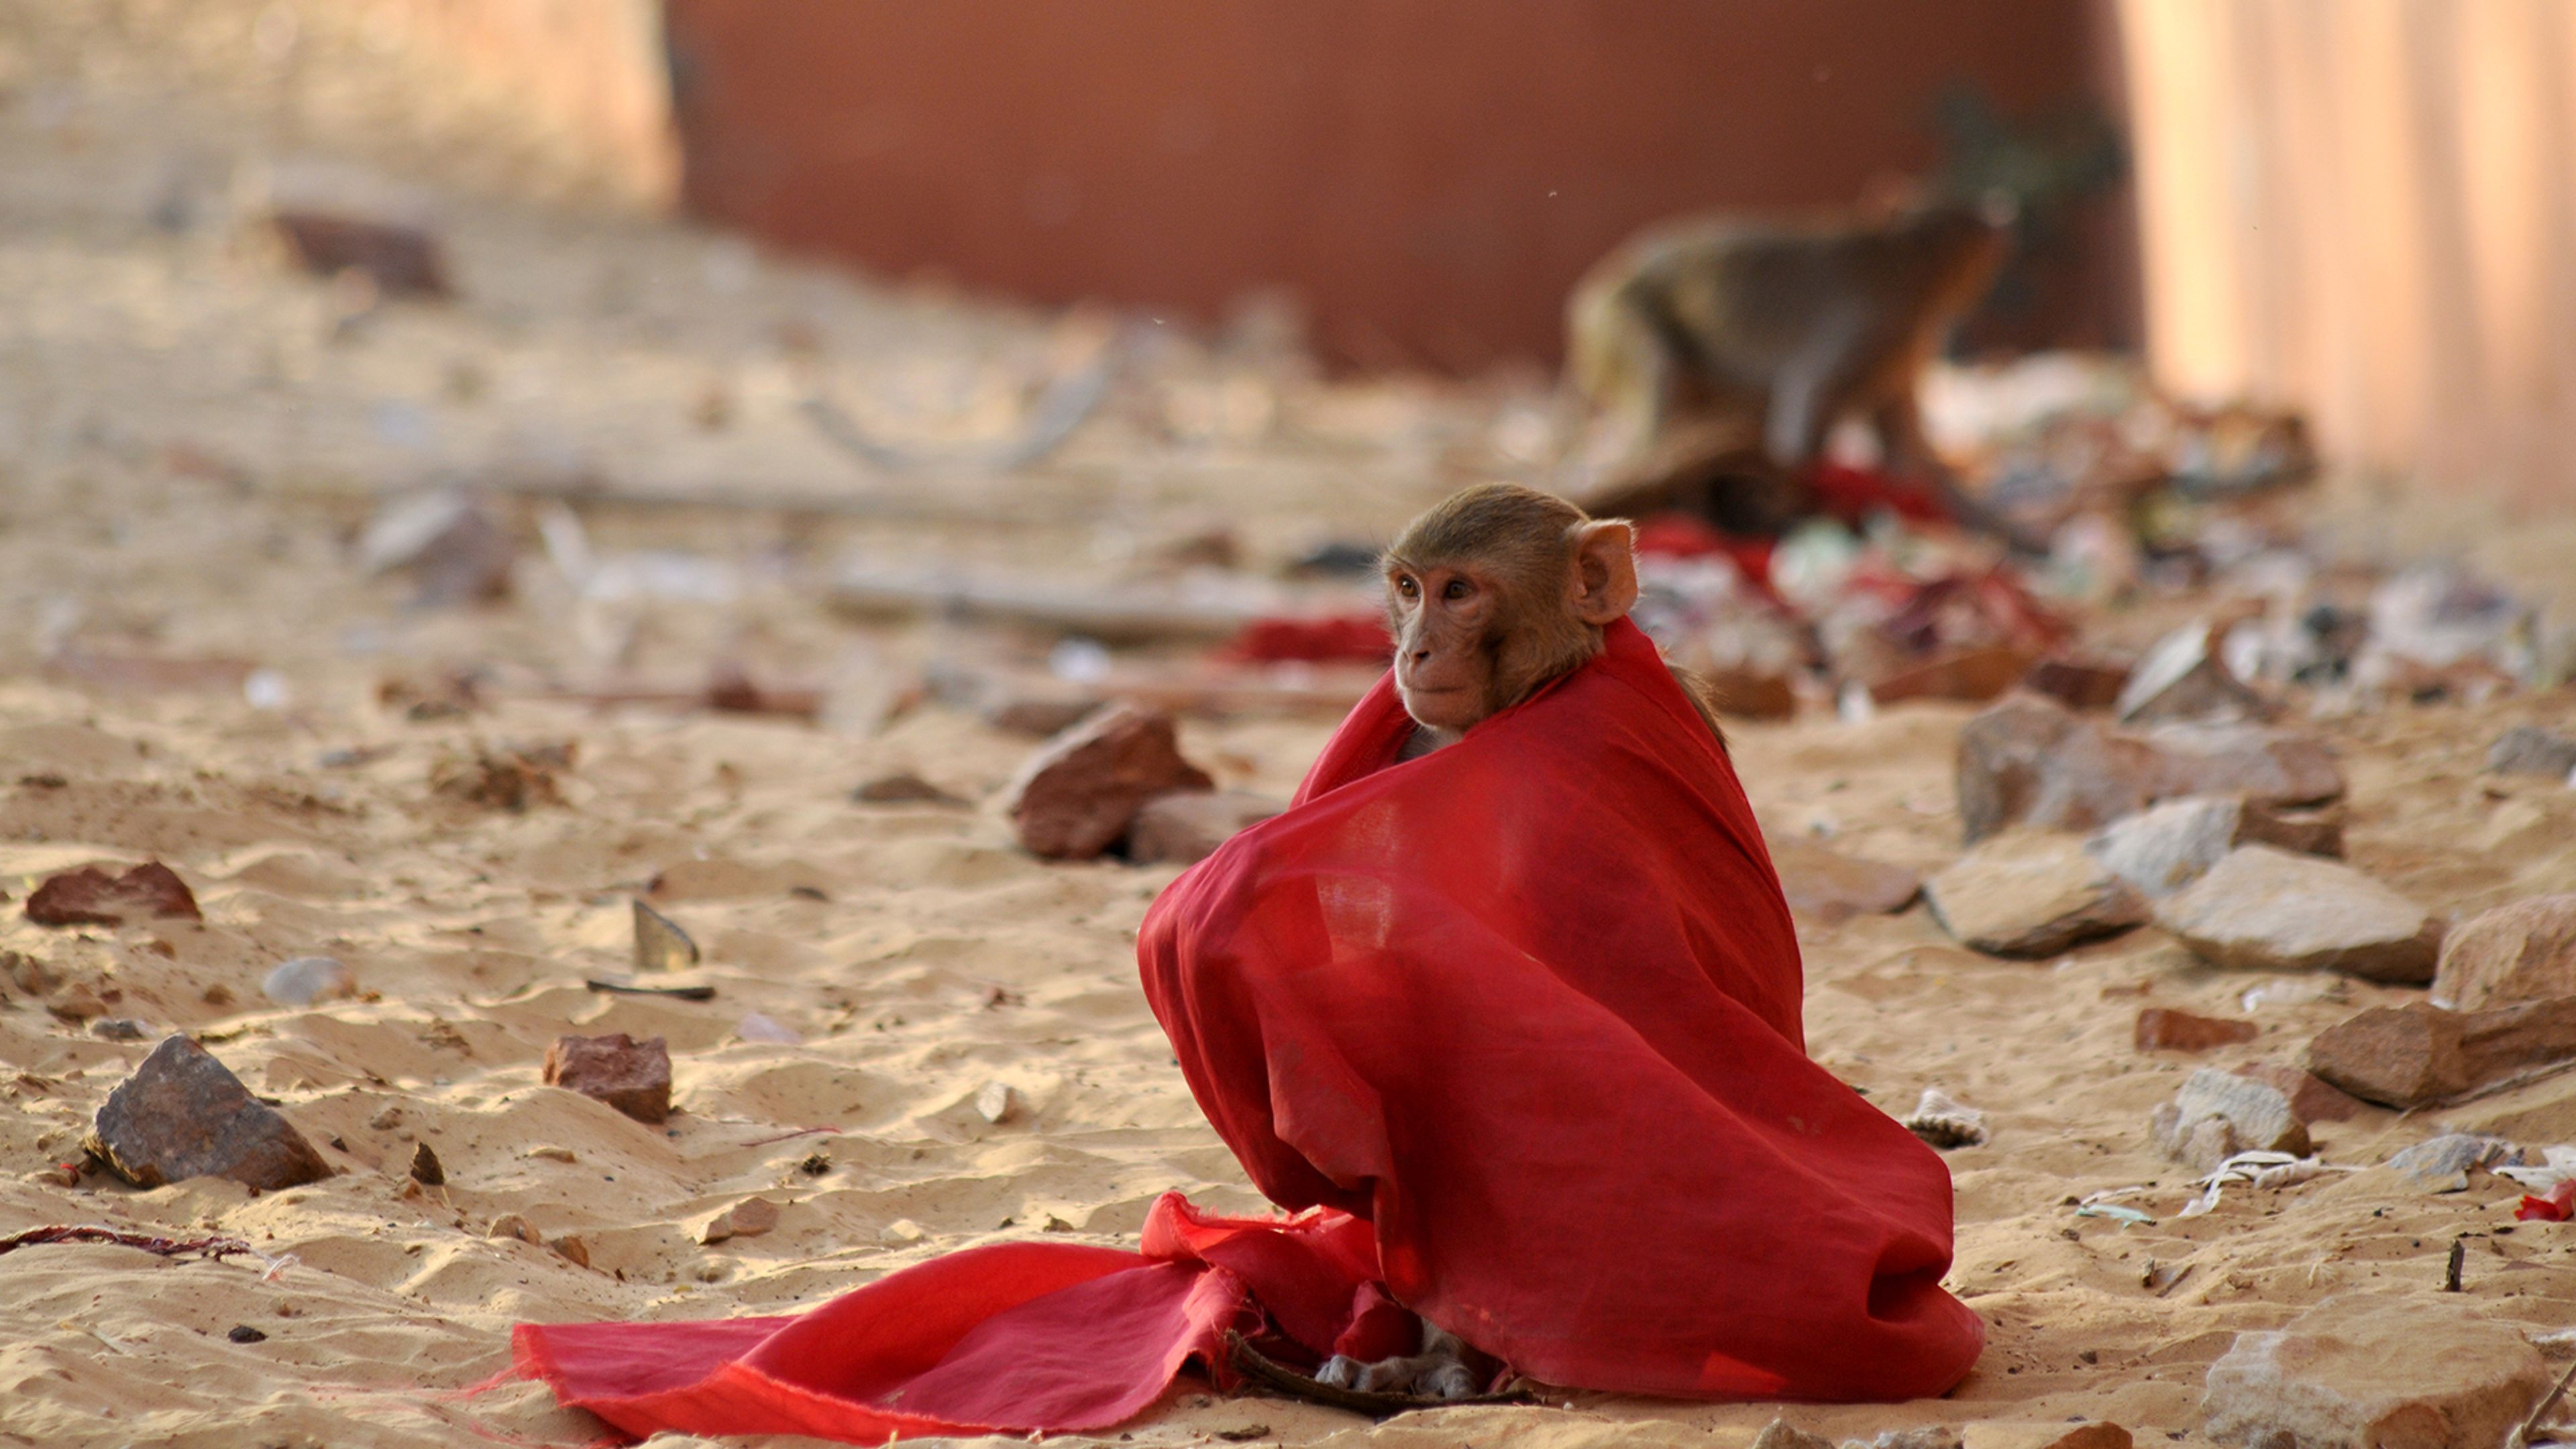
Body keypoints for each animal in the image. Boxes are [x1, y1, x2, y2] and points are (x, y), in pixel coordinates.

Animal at [1562, 199, 2026, 546]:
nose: (2000, 230)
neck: (1907, 265)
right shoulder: (1875, 327)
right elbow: (1808, 398)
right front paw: (1801, 496)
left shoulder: (1899, 355)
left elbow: (1908, 456)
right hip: (1620, 323)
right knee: (1662, 373)